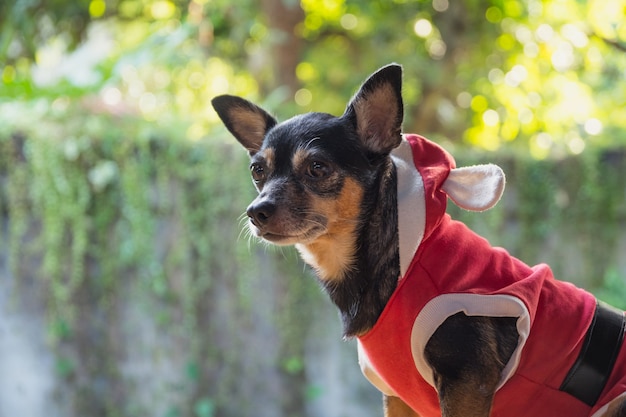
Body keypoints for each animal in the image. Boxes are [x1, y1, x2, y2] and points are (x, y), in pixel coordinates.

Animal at [211, 63, 624, 414]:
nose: (257, 211)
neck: (398, 262)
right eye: (257, 171)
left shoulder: (466, 384)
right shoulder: (398, 397)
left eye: (317, 167)